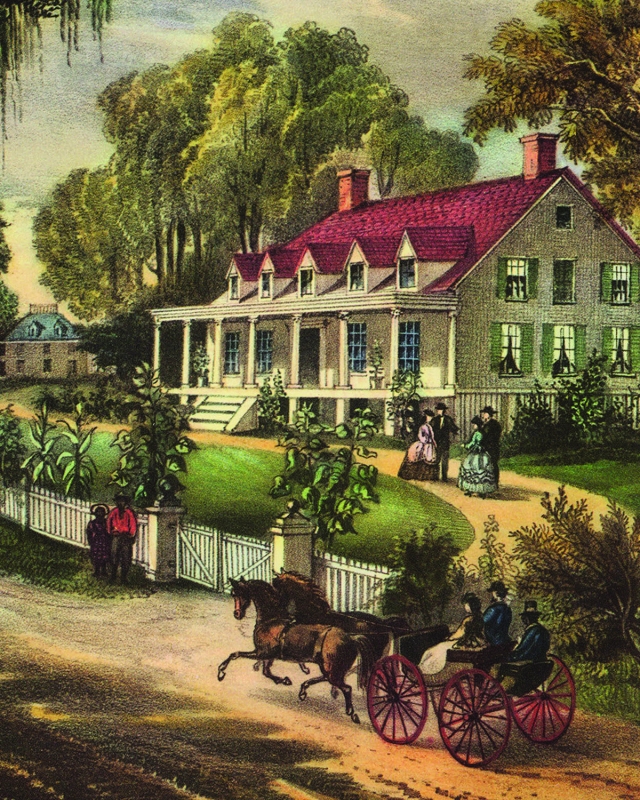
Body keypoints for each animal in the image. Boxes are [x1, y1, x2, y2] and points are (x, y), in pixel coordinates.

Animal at [218, 580, 376, 720]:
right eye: (233, 594)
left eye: (241, 593)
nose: (237, 614)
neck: (272, 620)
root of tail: (352, 638)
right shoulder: (268, 656)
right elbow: (266, 671)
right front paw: (284, 680)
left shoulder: (261, 653)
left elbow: (235, 655)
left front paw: (221, 671)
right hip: (331, 668)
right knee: (329, 680)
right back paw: (304, 689)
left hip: (331, 669)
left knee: (345, 687)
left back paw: (351, 712)